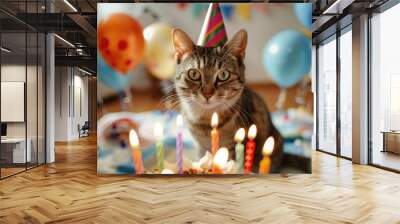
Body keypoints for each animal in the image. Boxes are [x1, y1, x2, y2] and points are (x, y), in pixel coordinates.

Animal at [170, 28, 284, 173]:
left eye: (223, 75)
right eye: (194, 74)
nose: (207, 93)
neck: (206, 121)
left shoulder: (232, 147)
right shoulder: (201, 146)